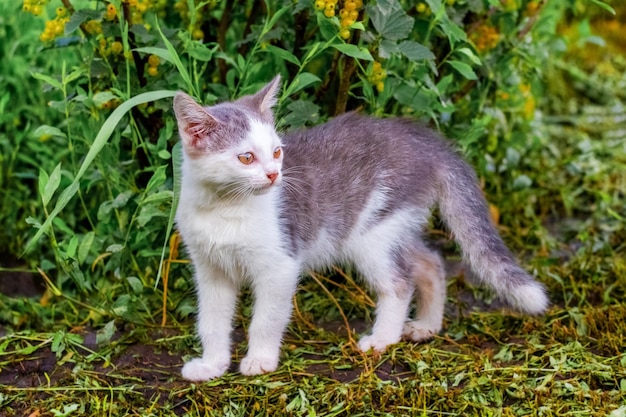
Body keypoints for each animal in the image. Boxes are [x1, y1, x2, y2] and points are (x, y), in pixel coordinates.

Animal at [172, 75, 544, 380]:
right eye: (246, 158)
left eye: (277, 152)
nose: (274, 175)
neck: (226, 209)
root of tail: (427, 140)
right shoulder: (210, 270)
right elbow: (211, 321)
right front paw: (212, 365)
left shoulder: (280, 265)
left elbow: (266, 319)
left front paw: (260, 360)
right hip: (394, 225)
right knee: (431, 262)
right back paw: (427, 325)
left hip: (371, 234)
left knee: (400, 283)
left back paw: (383, 339)